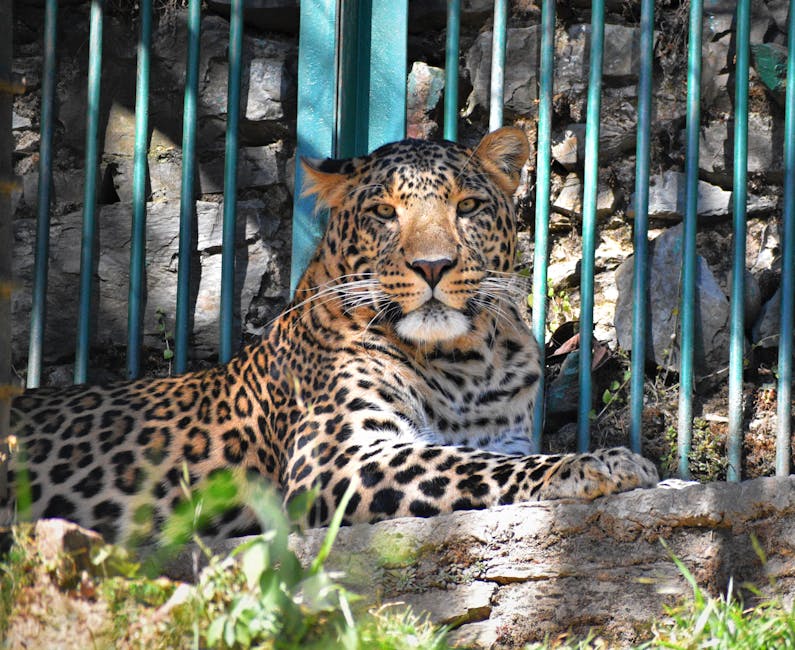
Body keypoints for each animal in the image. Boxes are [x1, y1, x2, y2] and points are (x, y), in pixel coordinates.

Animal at [3, 127, 659, 545]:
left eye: (468, 207)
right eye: (385, 214)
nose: (433, 266)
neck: (466, 362)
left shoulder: (504, 435)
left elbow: (487, 457)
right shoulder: (339, 458)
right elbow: (470, 466)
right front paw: (598, 464)